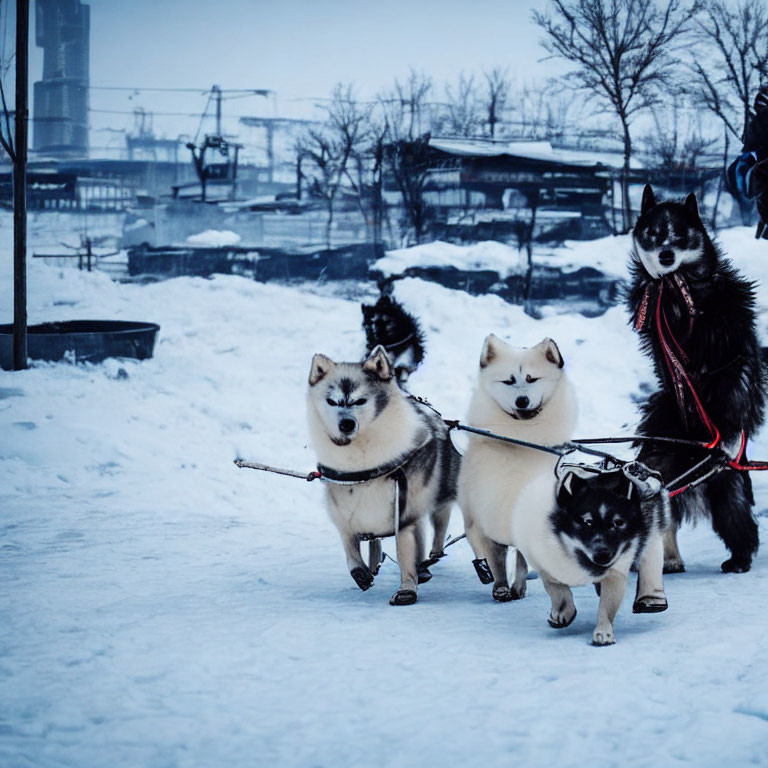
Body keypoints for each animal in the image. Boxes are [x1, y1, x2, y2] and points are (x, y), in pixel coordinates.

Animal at [456, 332, 576, 604]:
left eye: (532, 378)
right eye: (509, 381)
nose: (522, 400)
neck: (521, 438)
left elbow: (521, 556)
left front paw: (517, 585)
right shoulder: (488, 510)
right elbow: (496, 556)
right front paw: (501, 586)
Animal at [510, 462, 672, 648]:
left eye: (618, 522)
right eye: (587, 522)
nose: (603, 555)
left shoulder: (616, 571)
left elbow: (607, 605)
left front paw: (603, 632)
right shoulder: (544, 564)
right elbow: (557, 589)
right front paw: (562, 612)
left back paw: (651, 599)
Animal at [628, 184, 764, 568]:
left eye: (681, 234)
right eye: (654, 232)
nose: (666, 254)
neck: (677, 286)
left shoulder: (728, 334)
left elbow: (732, 369)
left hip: (727, 487)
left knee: (737, 517)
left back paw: (740, 557)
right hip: (660, 451)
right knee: (662, 503)